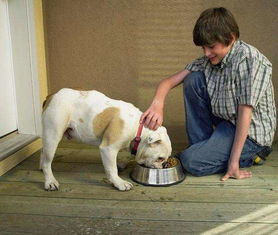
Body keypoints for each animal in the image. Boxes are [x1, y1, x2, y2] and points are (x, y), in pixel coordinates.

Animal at [40, 88, 172, 191]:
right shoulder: (108, 148)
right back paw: (50, 181)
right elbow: (112, 169)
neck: (138, 128)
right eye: (160, 158)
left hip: (49, 136)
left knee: (43, 151)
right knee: (47, 161)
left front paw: (121, 164)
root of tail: (52, 96)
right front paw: (119, 182)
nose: (165, 164)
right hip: (53, 135)